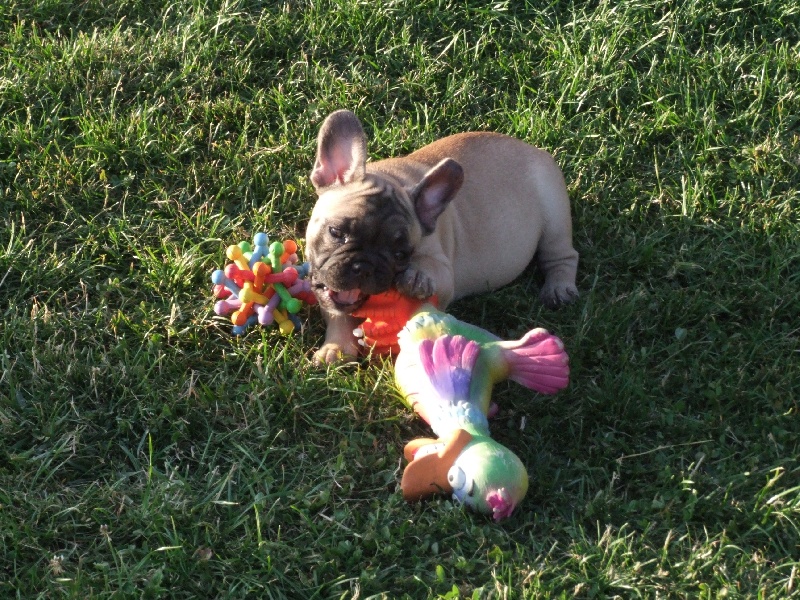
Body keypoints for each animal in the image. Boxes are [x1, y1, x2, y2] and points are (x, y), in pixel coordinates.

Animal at [305, 110, 579, 364]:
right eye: (336, 232)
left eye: (401, 254)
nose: (365, 267)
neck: (391, 176)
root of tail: (534, 150)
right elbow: (337, 313)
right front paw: (336, 349)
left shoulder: (445, 274)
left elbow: (434, 269)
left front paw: (417, 275)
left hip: (554, 215)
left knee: (563, 256)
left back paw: (558, 289)